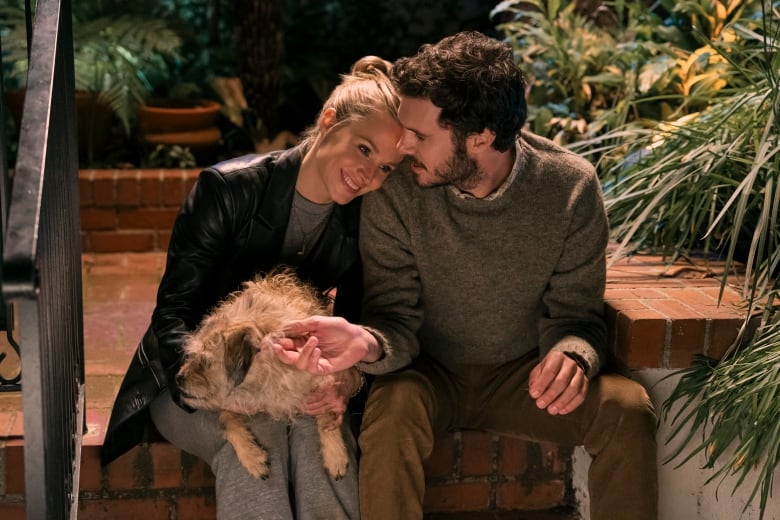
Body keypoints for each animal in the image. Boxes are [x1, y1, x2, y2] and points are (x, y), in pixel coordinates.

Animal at [178, 272, 348, 480]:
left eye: (205, 361)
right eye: (192, 355)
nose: (177, 379)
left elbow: (327, 415)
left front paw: (335, 455)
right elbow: (226, 420)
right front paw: (252, 456)